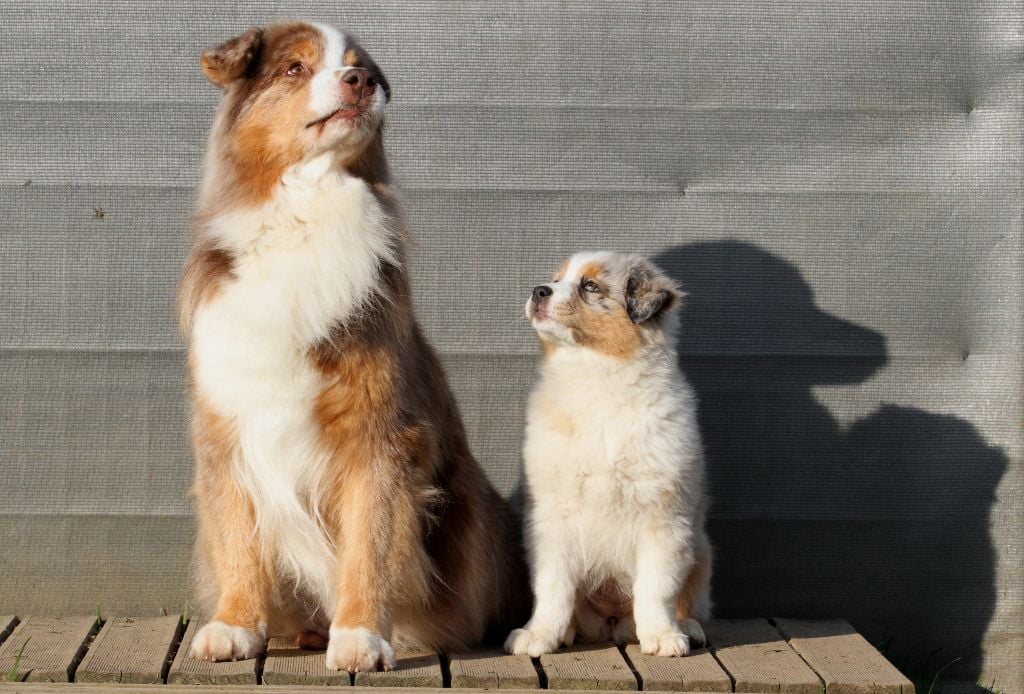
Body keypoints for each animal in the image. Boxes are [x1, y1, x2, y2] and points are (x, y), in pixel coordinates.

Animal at [180, 20, 528, 675]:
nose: (362, 81)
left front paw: (361, 636)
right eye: (294, 68)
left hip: (474, 505)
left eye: (359, 63)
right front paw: (234, 625)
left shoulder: (379, 432)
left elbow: (371, 542)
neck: (305, 209)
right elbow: (237, 536)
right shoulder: (226, 425)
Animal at [505, 252, 712, 659]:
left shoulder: (664, 517)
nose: (538, 290)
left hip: (700, 548)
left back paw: (687, 627)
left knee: (689, 600)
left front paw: (662, 636)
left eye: (590, 286)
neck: (596, 378)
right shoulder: (552, 514)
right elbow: (552, 585)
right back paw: (568, 631)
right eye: (557, 279)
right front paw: (539, 635)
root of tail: (612, 623)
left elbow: (656, 586)